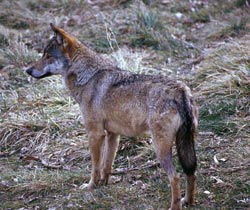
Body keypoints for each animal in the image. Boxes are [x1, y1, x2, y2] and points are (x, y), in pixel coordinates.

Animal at [26, 23, 198, 210]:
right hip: (184, 145)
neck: (88, 77)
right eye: (43, 55)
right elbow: (106, 165)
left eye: (48, 56)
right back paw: (188, 201)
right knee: (191, 172)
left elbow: (95, 166)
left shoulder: (95, 134)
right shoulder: (112, 134)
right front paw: (104, 185)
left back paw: (175, 206)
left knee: (175, 177)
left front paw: (91, 187)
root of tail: (181, 91)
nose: (28, 70)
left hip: (161, 148)